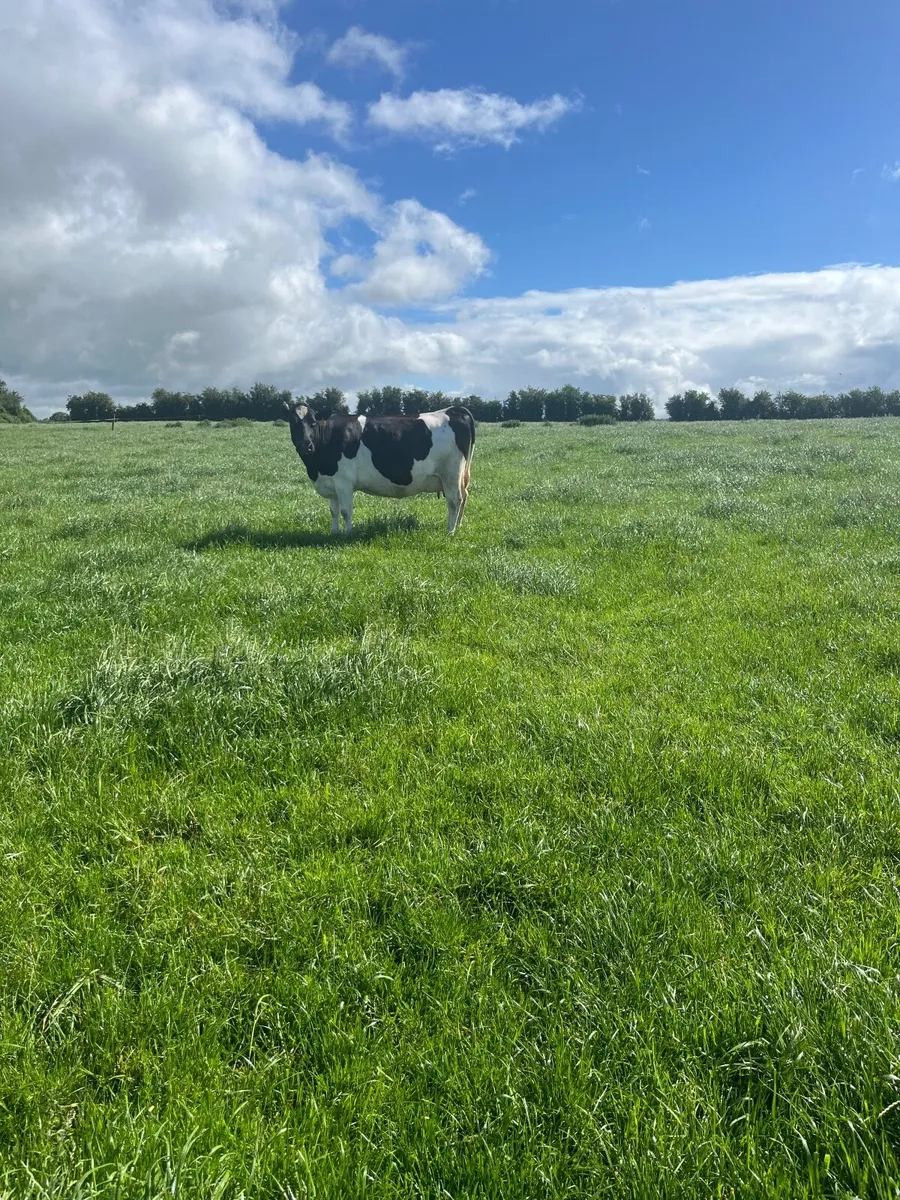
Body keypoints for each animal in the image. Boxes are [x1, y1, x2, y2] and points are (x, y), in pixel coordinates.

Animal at [286, 403, 475, 534]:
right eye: (293, 423)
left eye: (312, 422)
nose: (306, 445)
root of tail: (453, 409)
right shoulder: (331, 482)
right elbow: (334, 510)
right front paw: (335, 533)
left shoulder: (344, 482)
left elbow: (346, 511)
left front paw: (347, 534)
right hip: (458, 476)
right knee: (464, 496)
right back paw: (458, 525)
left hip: (451, 474)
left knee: (455, 500)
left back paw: (450, 531)